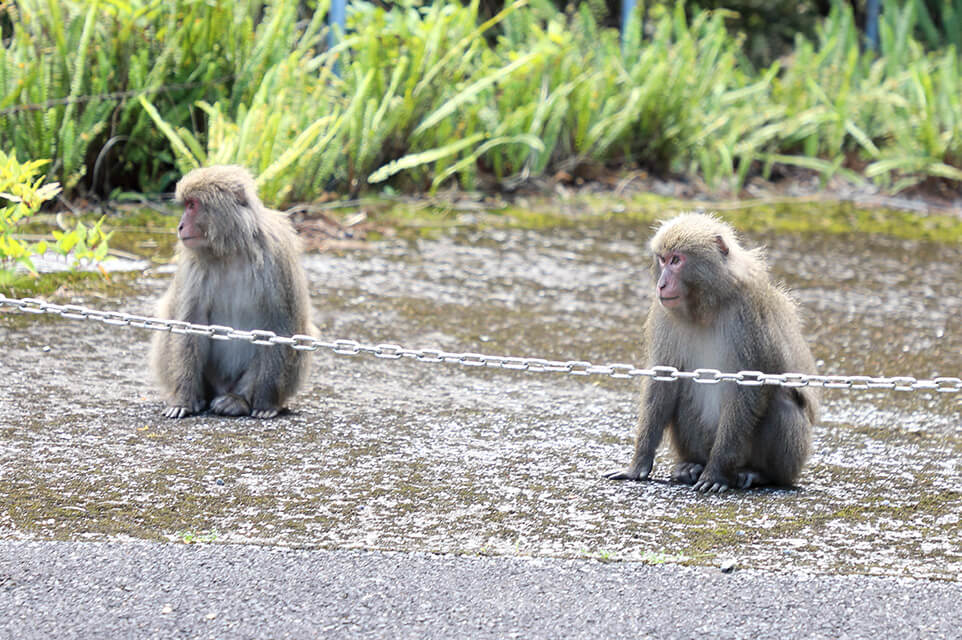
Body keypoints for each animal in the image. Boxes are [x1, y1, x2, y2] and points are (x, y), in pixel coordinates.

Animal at [148, 165, 312, 420]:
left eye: (192, 205)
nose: (180, 226)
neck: (230, 250)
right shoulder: (193, 264)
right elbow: (190, 324)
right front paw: (183, 400)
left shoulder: (276, 256)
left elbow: (278, 326)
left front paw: (265, 404)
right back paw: (199, 398)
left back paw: (239, 400)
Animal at [604, 212, 812, 492]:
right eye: (662, 259)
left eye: (676, 260)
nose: (662, 284)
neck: (706, 306)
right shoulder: (664, 314)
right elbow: (664, 381)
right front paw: (638, 464)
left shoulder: (750, 311)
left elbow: (749, 385)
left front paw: (715, 472)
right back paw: (691, 466)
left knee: (783, 403)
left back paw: (757, 474)